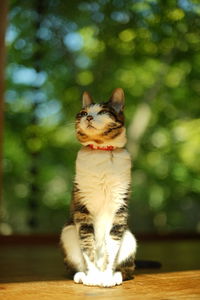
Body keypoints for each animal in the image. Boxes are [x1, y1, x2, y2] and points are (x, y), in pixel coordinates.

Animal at [60, 88, 137, 288]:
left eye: (102, 111)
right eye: (83, 113)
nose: (88, 117)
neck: (101, 152)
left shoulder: (119, 208)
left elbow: (112, 247)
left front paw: (106, 278)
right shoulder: (82, 209)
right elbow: (88, 245)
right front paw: (93, 277)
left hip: (130, 238)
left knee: (127, 269)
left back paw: (115, 276)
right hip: (68, 232)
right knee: (75, 264)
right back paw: (83, 275)